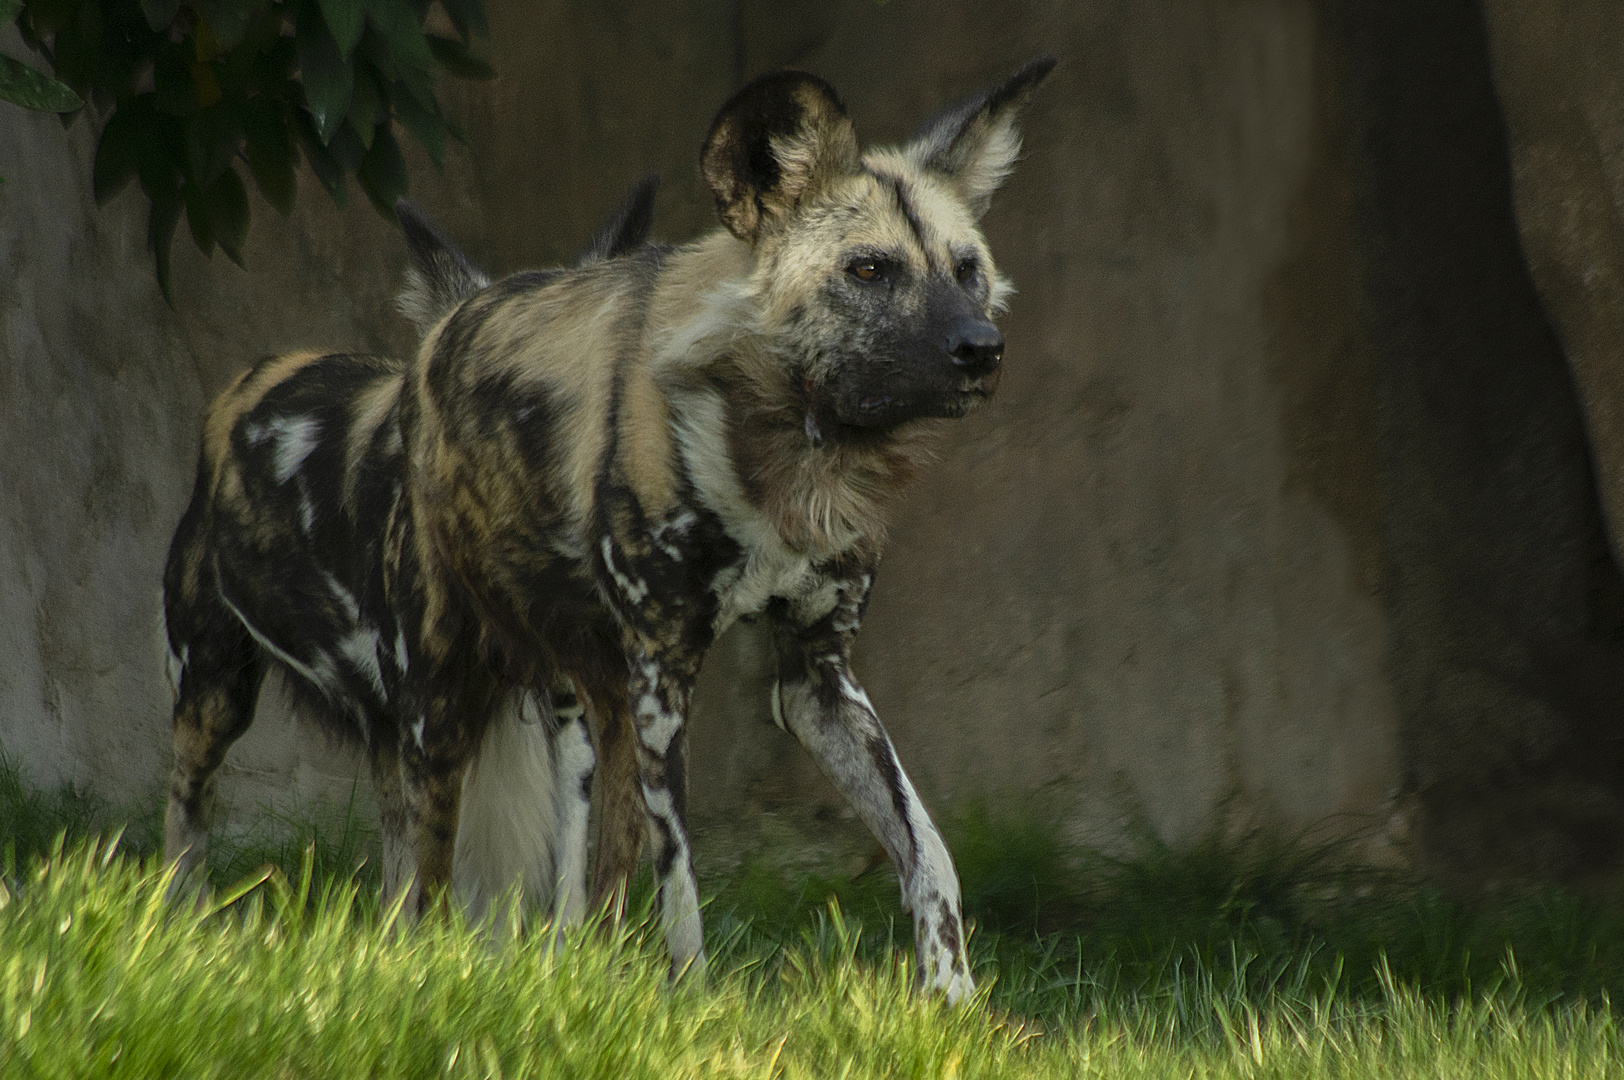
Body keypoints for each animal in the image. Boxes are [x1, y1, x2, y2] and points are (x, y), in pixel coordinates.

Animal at [164, 60, 1052, 1000]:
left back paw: (566, 963)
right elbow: (684, 882)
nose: (981, 347)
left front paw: (951, 999)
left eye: (967, 269)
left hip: (577, 698)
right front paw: (692, 1003)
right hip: (376, 695)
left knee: (565, 859)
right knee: (309, 839)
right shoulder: (665, 675)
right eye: (870, 268)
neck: (782, 452)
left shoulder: (817, 679)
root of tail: (441, 334)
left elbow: (928, 851)